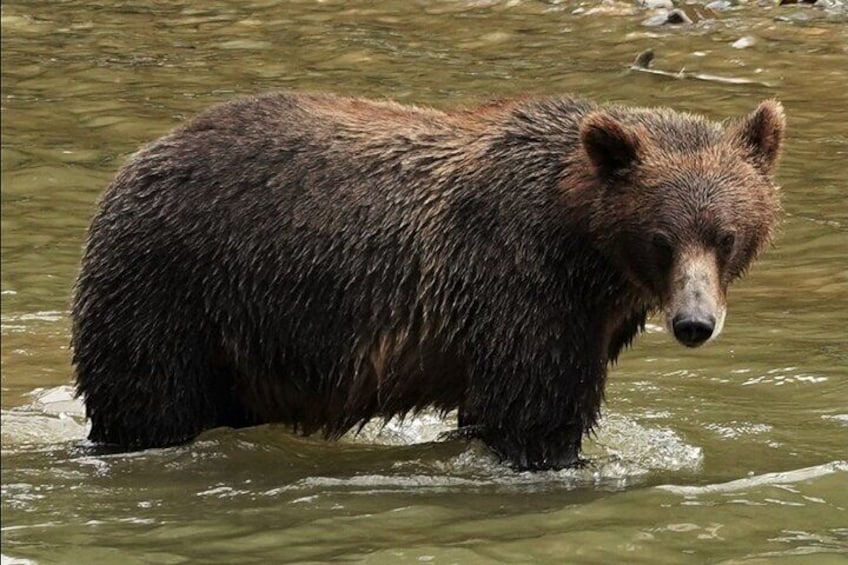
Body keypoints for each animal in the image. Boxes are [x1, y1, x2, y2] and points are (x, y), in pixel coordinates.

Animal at [71, 92, 785, 470]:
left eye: (725, 236)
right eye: (662, 239)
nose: (694, 323)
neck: (585, 249)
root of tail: (137, 159)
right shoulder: (522, 287)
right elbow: (532, 413)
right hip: (172, 289)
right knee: (147, 399)